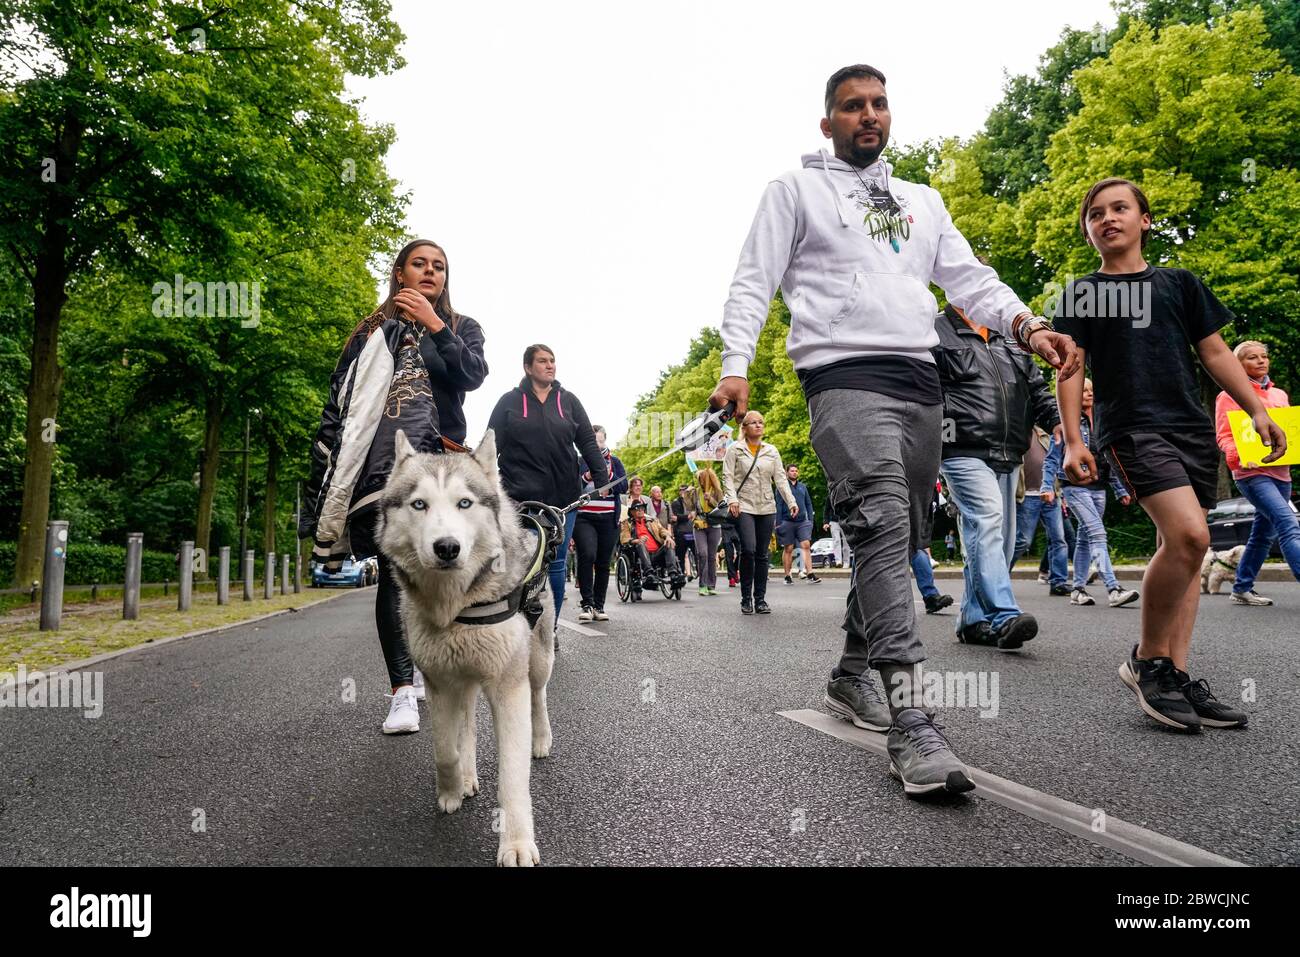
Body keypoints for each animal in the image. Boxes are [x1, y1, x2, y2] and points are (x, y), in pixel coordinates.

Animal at [379, 429, 556, 868]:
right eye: (419, 504)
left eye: (464, 503)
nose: (447, 547)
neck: (458, 608)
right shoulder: (440, 683)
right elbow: (446, 748)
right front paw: (452, 789)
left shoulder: (508, 687)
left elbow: (513, 776)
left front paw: (516, 844)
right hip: (465, 679)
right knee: (468, 726)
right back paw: (469, 775)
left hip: (538, 659)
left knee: (539, 695)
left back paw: (541, 739)